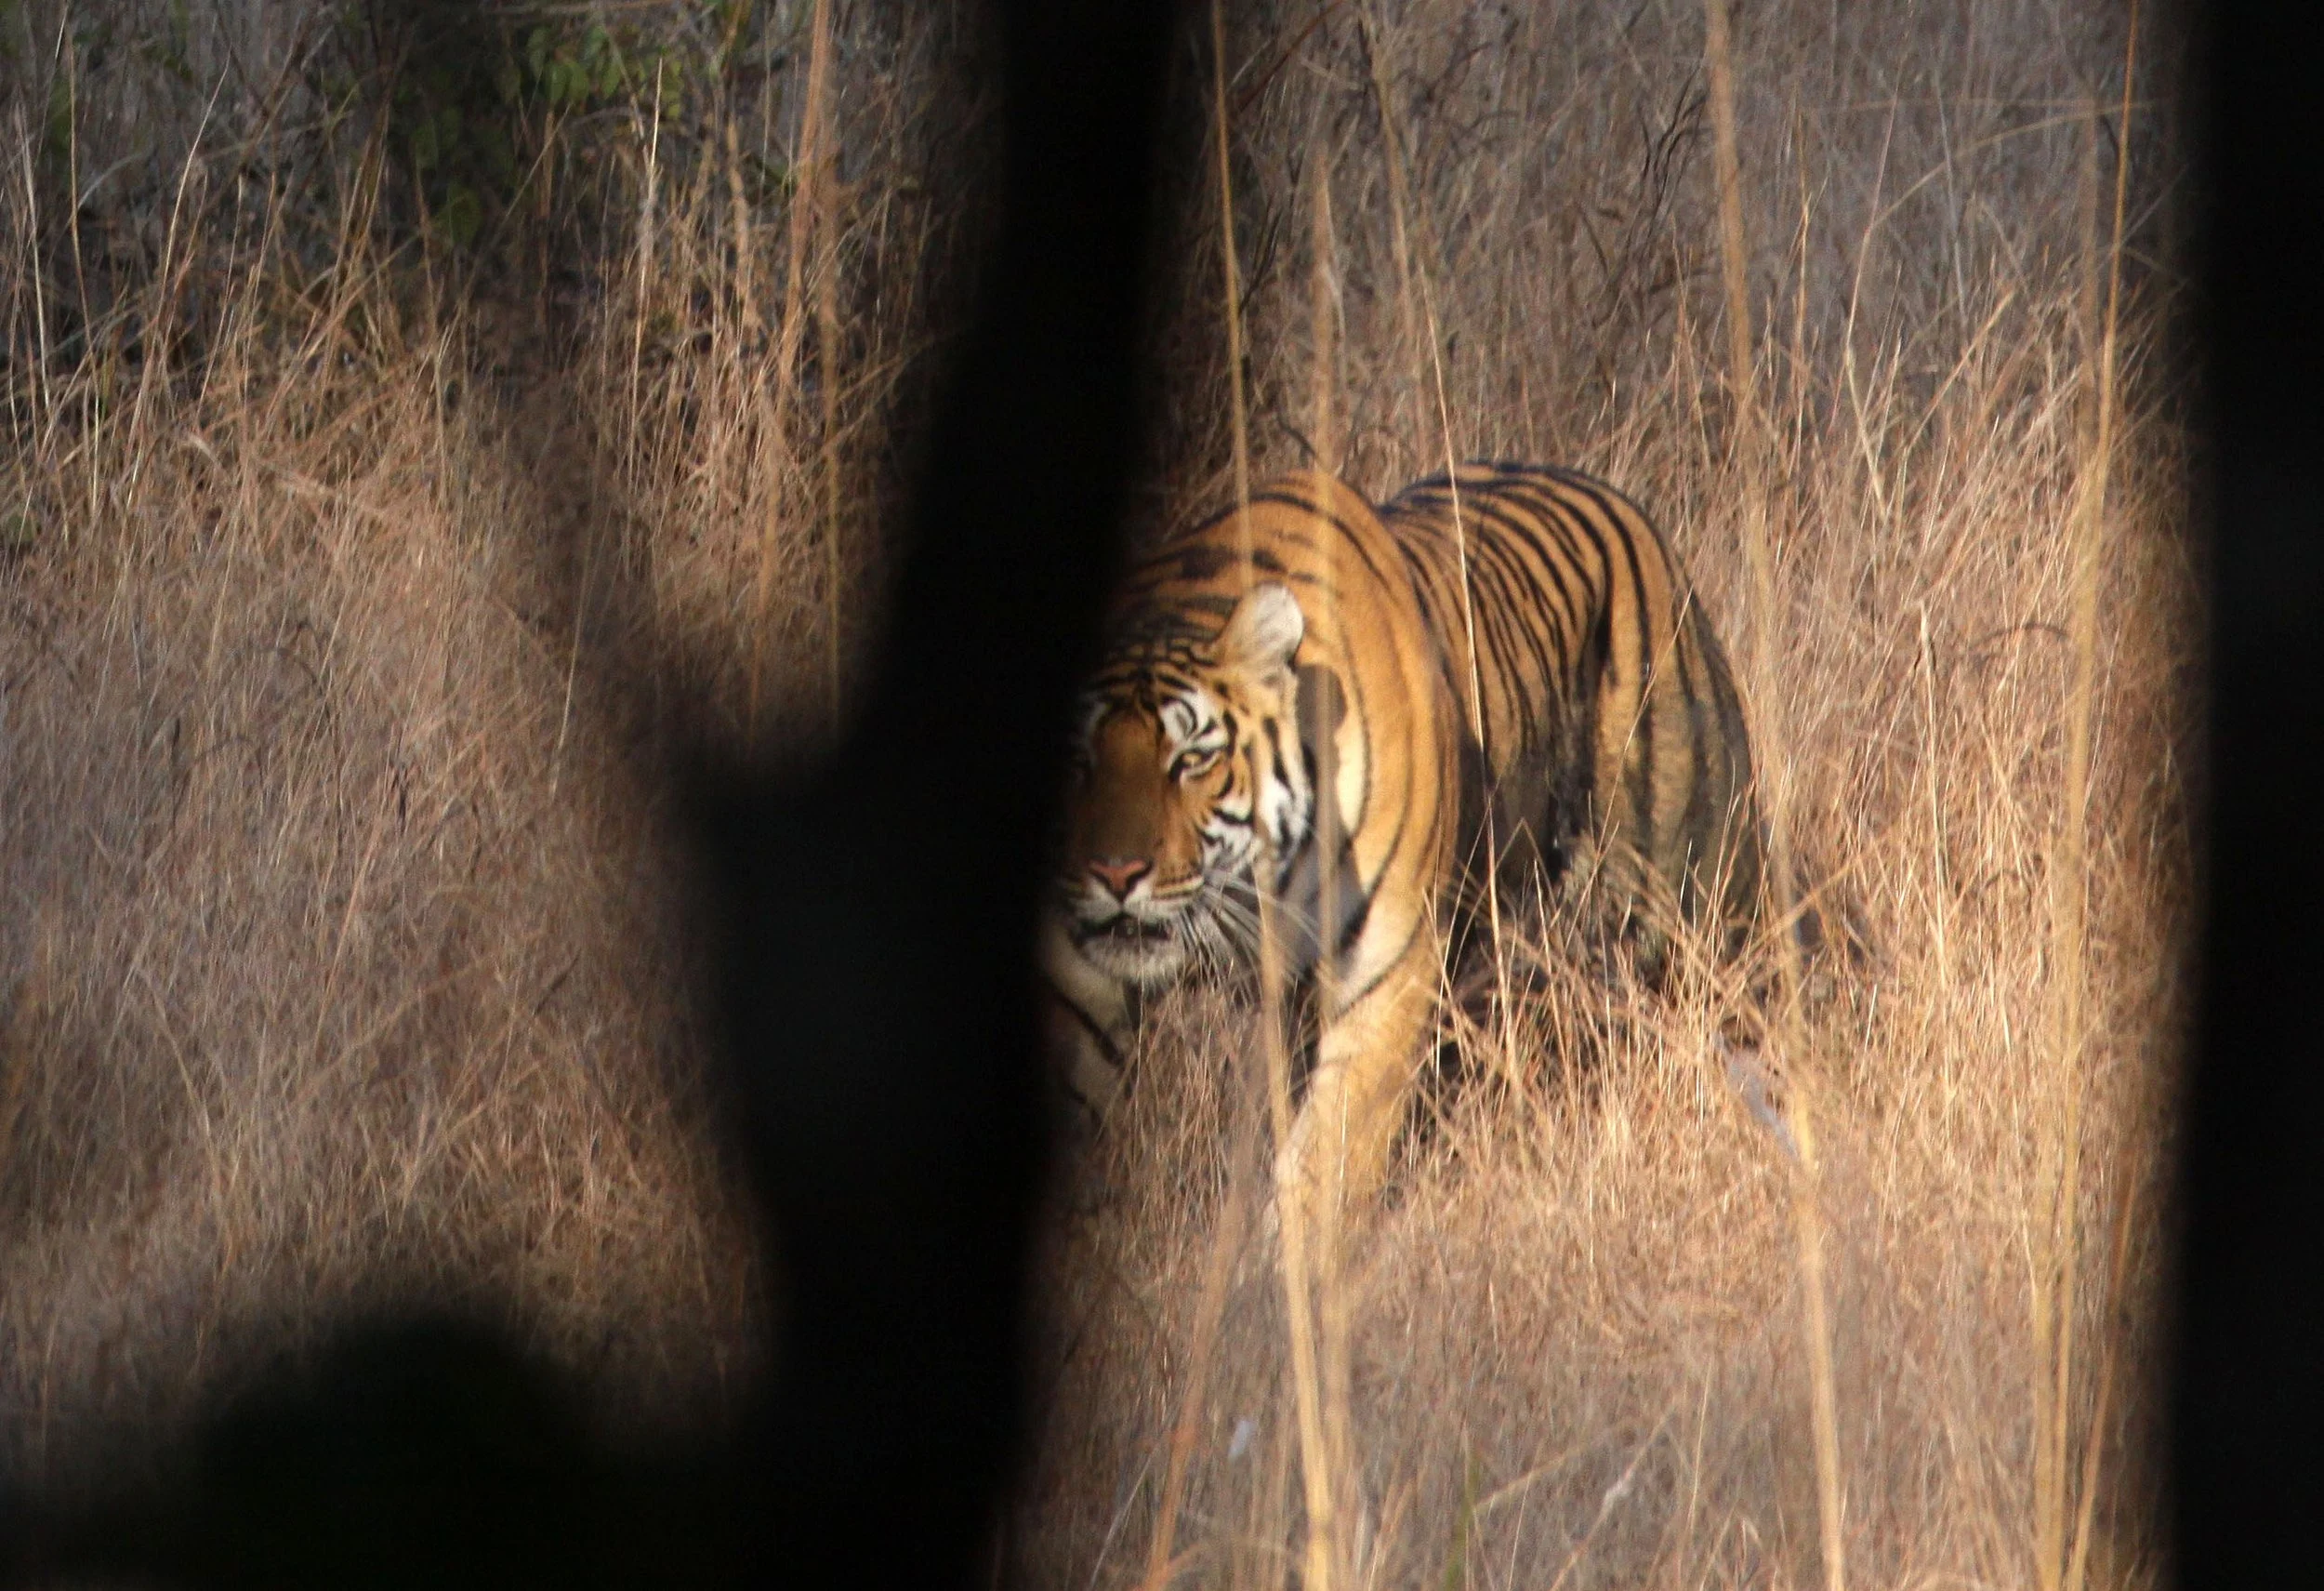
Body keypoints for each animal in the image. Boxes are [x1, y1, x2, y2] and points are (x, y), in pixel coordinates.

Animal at [1043, 461, 1765, 1228]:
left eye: (1191, 760)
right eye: (1077, 760)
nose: (1115, 872)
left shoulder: (1382, 974)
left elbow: (1321, 1169)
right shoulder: (1075, 983)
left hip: (1693, 896)